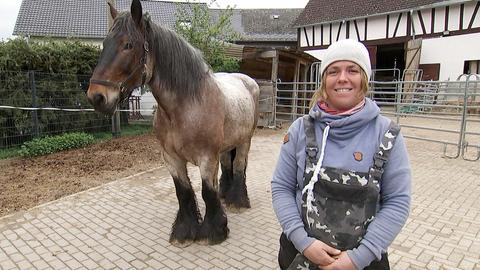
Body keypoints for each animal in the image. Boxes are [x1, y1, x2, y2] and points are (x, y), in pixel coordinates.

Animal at [86, 0, 258, 246]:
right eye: (104, 44)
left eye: (128, 45)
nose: (96, 97)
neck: (184, 108)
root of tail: (246, 80)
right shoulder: (171, 158)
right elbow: (183, 192)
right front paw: (185, 231)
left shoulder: (207, 158)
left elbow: (207, 192)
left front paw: (214, 231)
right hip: (227, 145)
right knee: (228, 165)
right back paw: (226, 195)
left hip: (245, 141)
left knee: (239, 166)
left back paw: (238, 201)